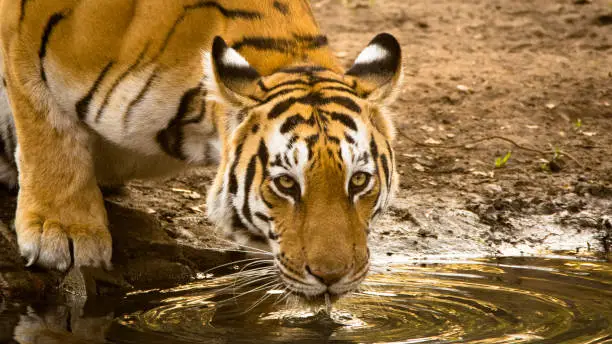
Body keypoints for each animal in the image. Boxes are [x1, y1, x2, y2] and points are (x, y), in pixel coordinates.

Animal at [0, 0, 404, 298]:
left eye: (359, 181)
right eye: (287, 184)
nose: (331, 277)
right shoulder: (23, 31)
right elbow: (46, 124)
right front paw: (64, 232)